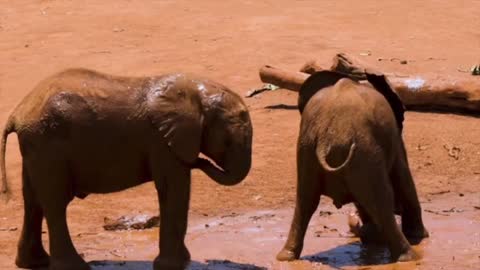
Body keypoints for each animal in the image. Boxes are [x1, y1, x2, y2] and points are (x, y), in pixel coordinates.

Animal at [0, 68, 253, 270]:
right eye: (227, 142)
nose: (200, 161)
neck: (194, 92)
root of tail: (18, 113)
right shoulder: (163, 142)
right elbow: (173, 190)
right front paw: (174, 266)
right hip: (48, 144)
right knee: (55, 203)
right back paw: (74, 267)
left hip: (37, 147)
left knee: (33, 202)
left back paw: (34, 263)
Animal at [276, 70, 430, 262]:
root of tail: (327, 136)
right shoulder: (393, 137)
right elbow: (402, 176)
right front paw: (418, 236)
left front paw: (372, 237)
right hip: (363, 149)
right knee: (381, 199)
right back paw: (409, 257)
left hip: (309, 148)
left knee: (304, 201)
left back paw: (285, 257)